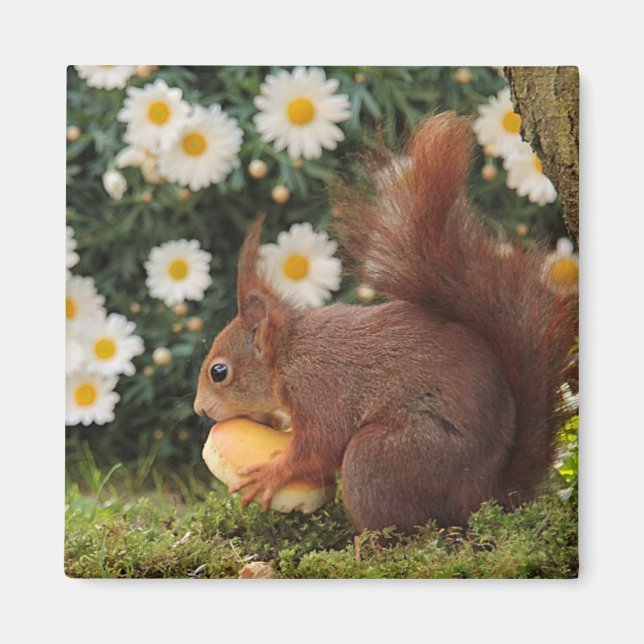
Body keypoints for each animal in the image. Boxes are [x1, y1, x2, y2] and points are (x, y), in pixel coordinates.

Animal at [193, 112, 578, 532]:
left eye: (218, 372)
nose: (199, 411)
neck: (289, 355)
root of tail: (485, 494)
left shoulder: (318, 389)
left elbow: (320, 445)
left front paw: (272, 474)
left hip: (382, 458)